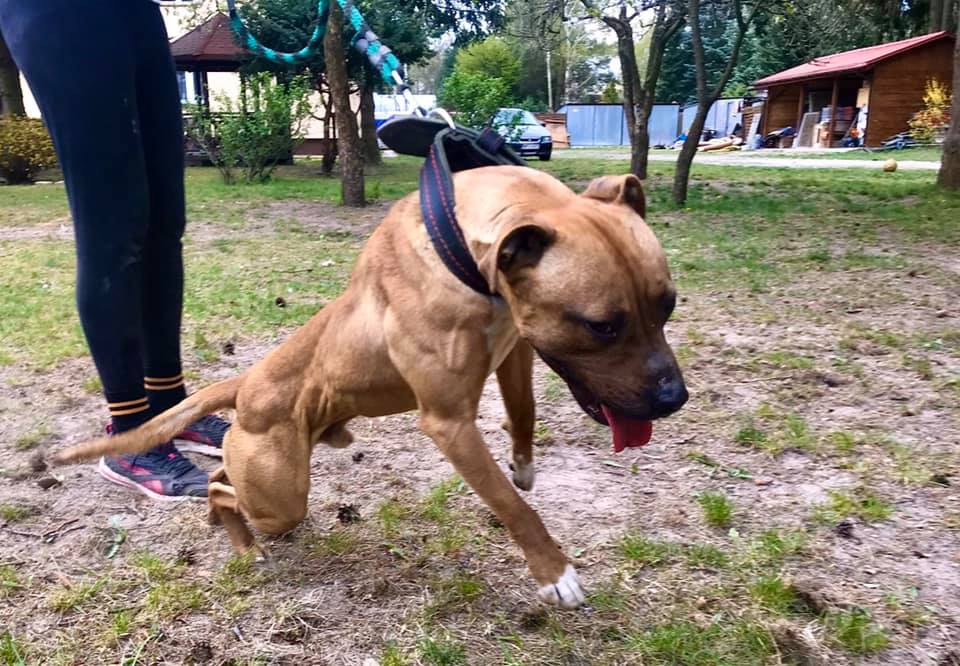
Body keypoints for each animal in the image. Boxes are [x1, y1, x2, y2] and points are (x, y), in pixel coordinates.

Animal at [54, 166, 688, 609]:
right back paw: (243, 545)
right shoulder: (449, 422)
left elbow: (525, 410)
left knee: (219, 479)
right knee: (222, 489)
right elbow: (512, 507)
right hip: (281, 494)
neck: (461, 252)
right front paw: (555, 573)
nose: (673, 399)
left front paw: (524, 465)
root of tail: (246, 381)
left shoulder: (517, 348)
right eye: (602, 325)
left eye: (668, 305)